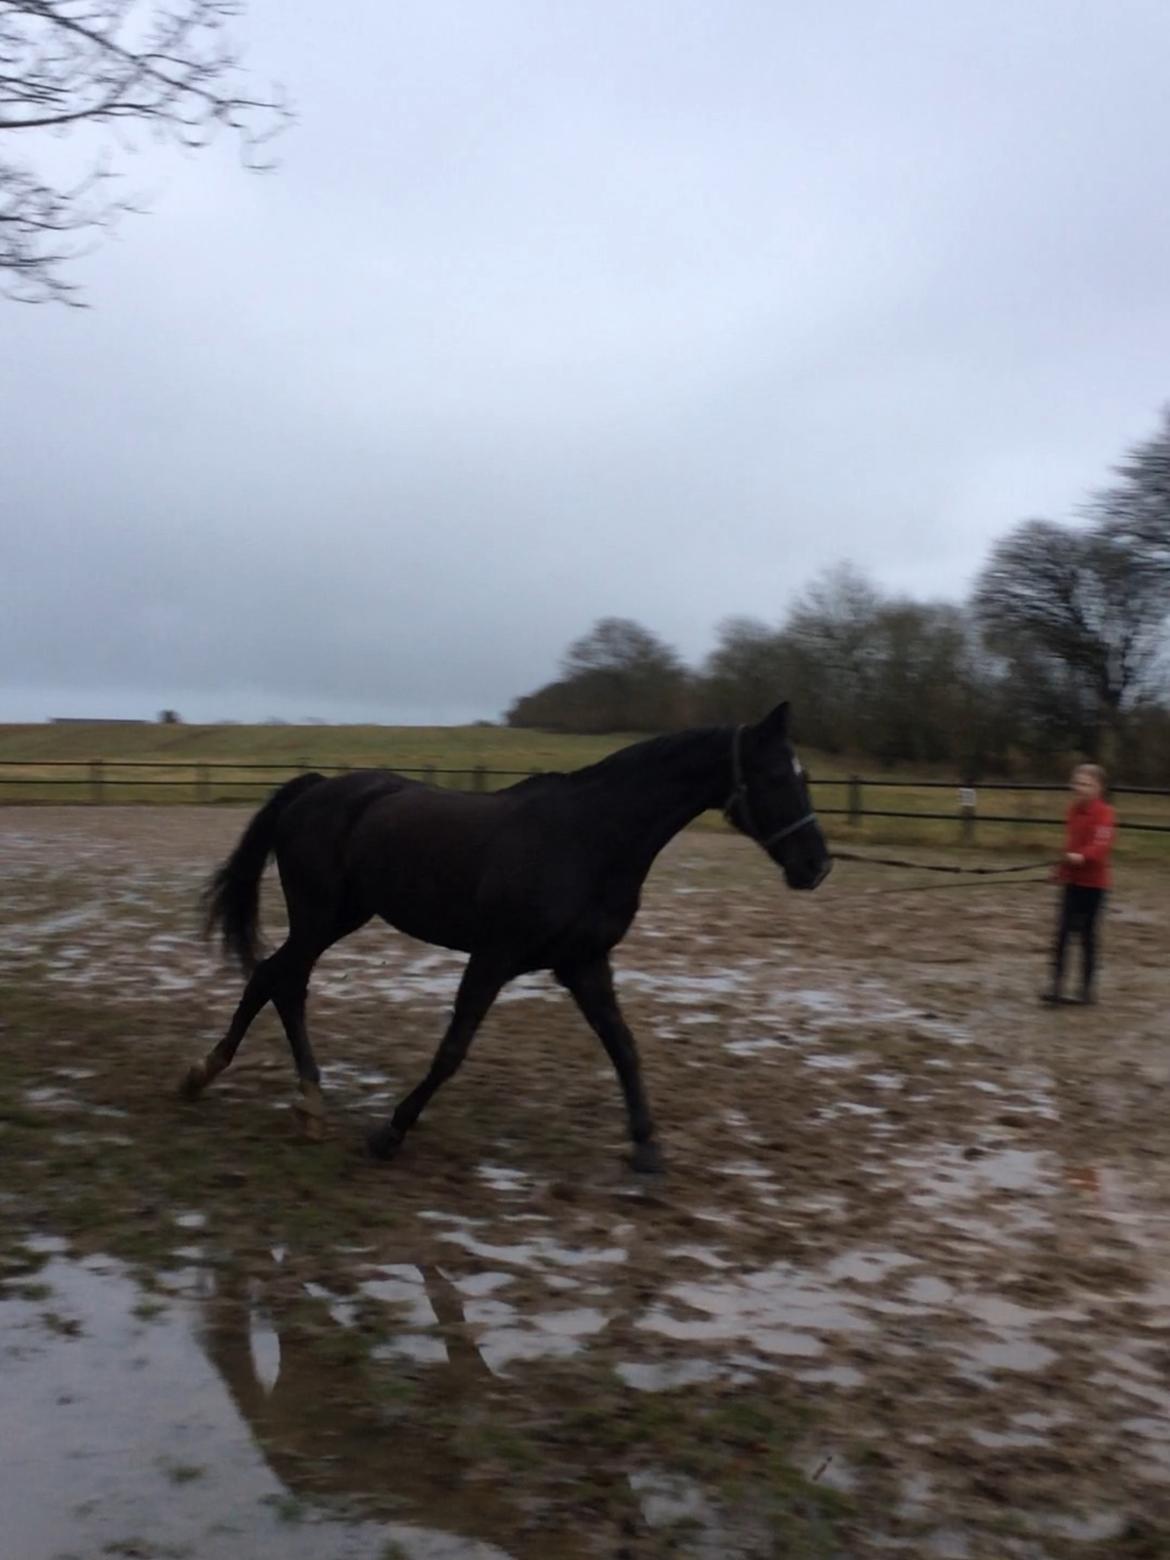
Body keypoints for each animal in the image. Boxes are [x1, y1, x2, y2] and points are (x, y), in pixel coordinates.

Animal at [183, 708, 829, 1173]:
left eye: (805, 776)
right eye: (776, 775)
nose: (817, 866)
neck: (589, 840)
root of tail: (316, 789)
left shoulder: (585, 964)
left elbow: (624, 1047)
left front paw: (648, 1149)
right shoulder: (494, 957)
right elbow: (452, 1051)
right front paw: (389, 1133)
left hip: (343, 916)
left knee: (276, 978)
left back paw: (273, 1092)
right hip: (320, 917)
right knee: (278, 978)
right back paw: (236, 1082)